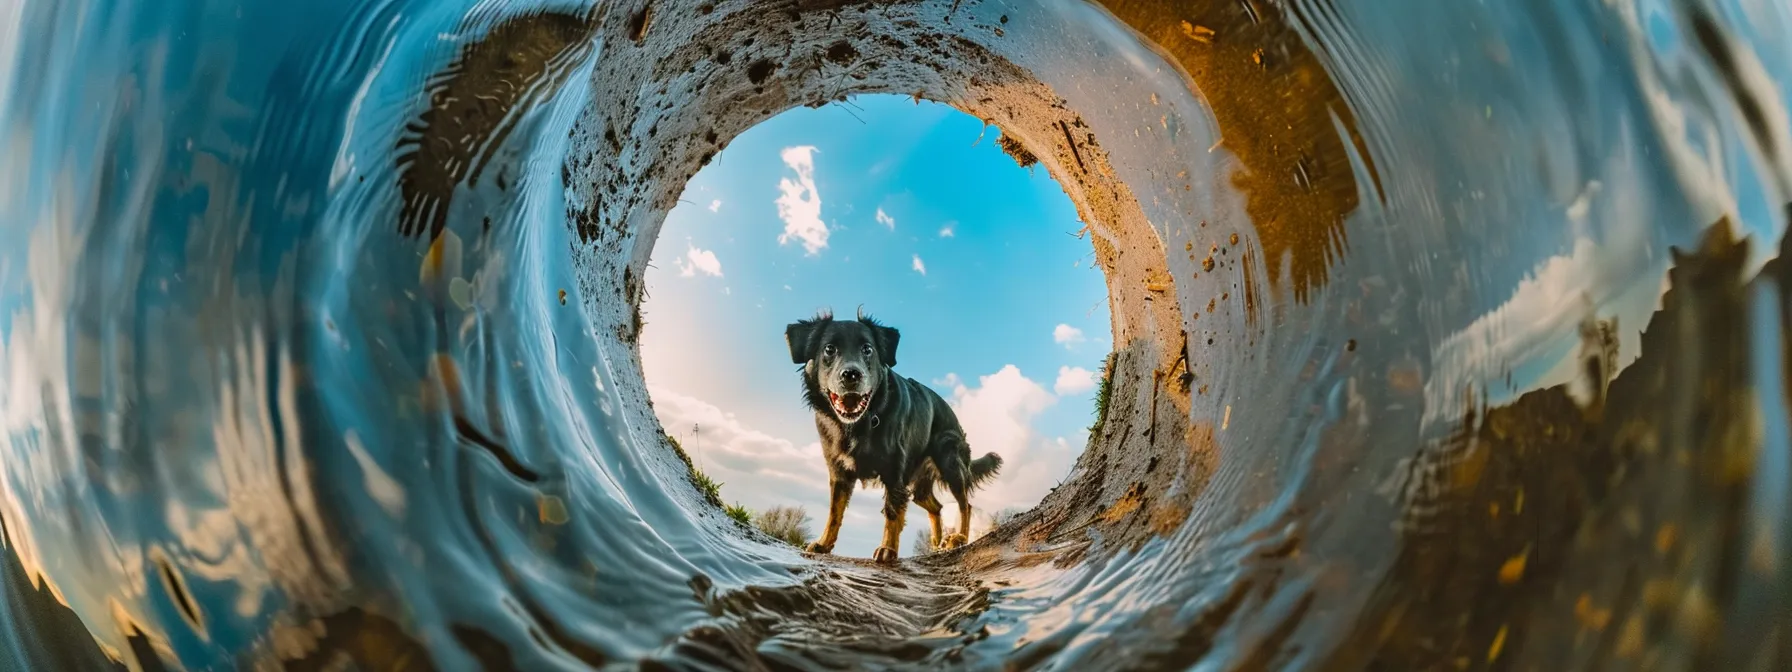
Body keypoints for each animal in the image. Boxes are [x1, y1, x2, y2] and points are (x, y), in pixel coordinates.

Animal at [784, 310, 1010, 562]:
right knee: (936, 507)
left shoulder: (894, 473)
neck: (859, 424)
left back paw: (958, 538)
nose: (851, 375)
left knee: (965, 505)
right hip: (920, 488)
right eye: (829, 349)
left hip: (950, 462)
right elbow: (834, 511)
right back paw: (936, 544)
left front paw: (888, 549)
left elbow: (892, 512)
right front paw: (824, 543)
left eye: (868, 349)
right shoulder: (839, 472)